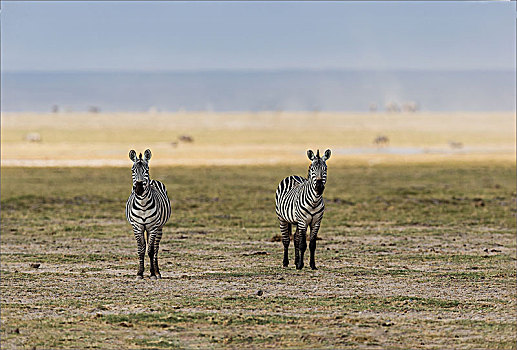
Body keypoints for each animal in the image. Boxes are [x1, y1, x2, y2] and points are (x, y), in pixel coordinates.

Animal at [126, 150, 172, 278]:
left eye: (147, 170)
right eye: (132, 170)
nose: (139, 189)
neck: (143, 204)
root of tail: (152, 180)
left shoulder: (153, 227)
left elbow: (151, 250)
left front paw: (152, 273)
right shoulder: (137, 227)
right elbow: (141, 249)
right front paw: (139, 273)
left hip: (159, 228)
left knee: (156, 248)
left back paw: (157, 272)